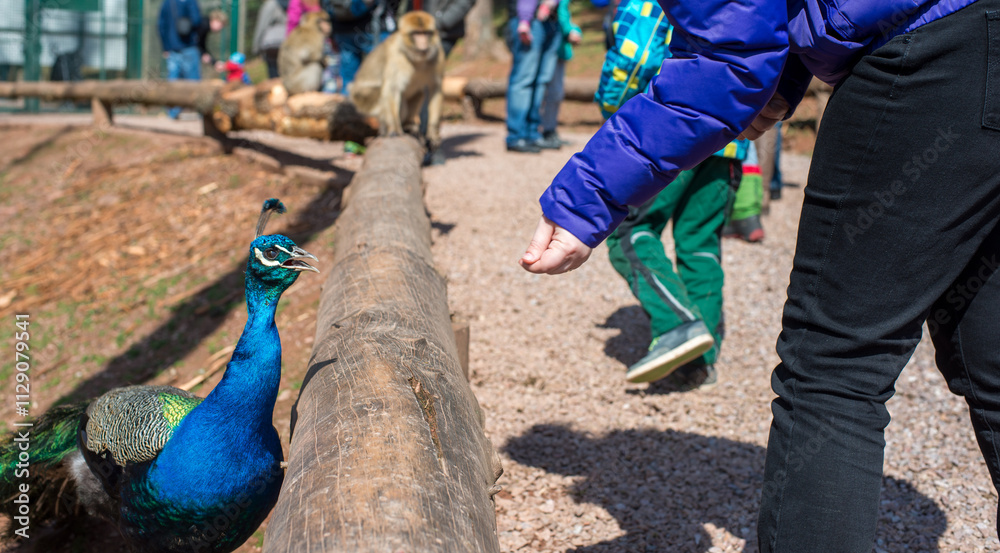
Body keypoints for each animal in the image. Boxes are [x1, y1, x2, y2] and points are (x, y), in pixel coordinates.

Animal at [349, 11, 446, 155]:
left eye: (426, 33)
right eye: (416, 33)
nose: (423, 44)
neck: (417, 59)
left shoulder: (438, 54)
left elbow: (435, 89)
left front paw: (433, 133)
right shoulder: (396, 56)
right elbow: (392, 89)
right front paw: (394, 128)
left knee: (419, 93)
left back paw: (408, 125)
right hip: (362, 99)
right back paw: (385, 127)